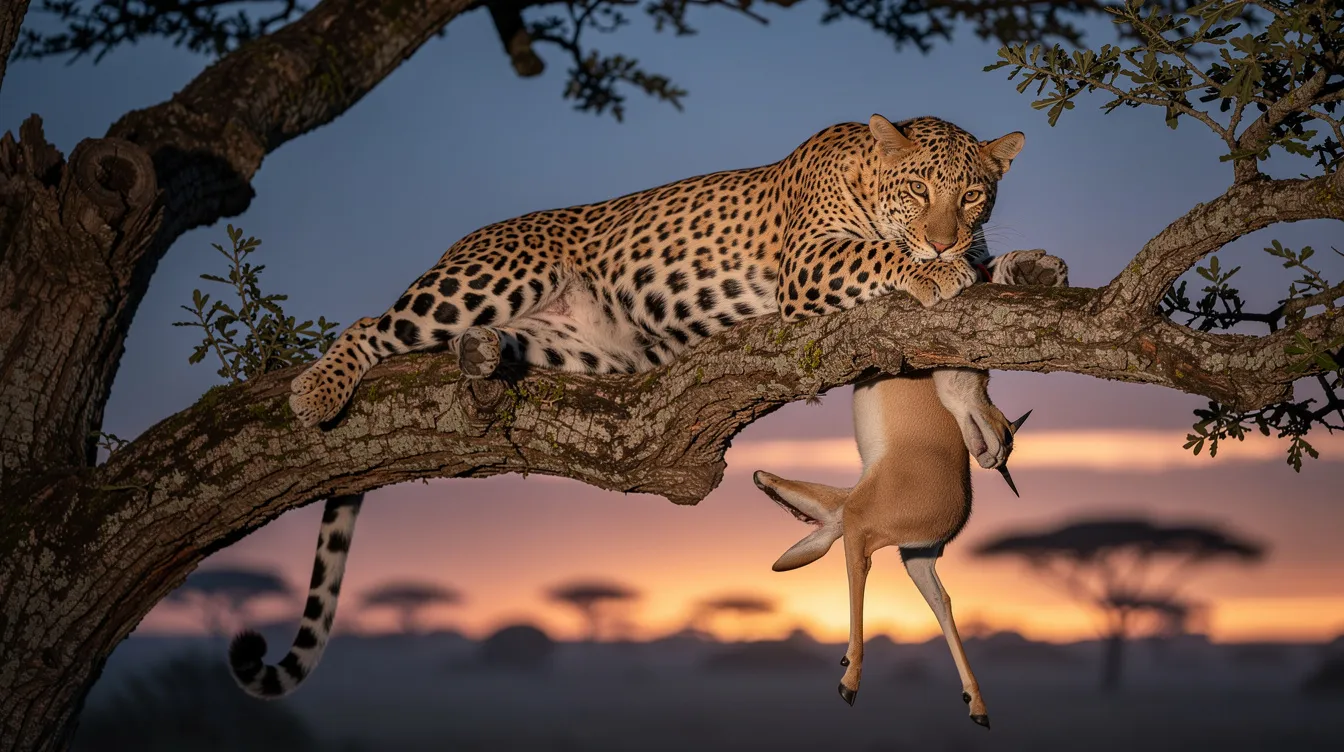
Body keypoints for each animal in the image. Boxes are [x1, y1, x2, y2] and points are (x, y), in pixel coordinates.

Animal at [228, 114, 1034, 699]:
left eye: (973, 194)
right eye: (920, 190)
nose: (946, 239)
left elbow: (971, 320)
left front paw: (1013, 276)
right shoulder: (808, 266)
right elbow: (883, 258)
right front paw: (940, 270)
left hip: (570, 351)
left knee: (481, 349)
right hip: (484, 279)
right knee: (372, 324)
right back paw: (317, 391)